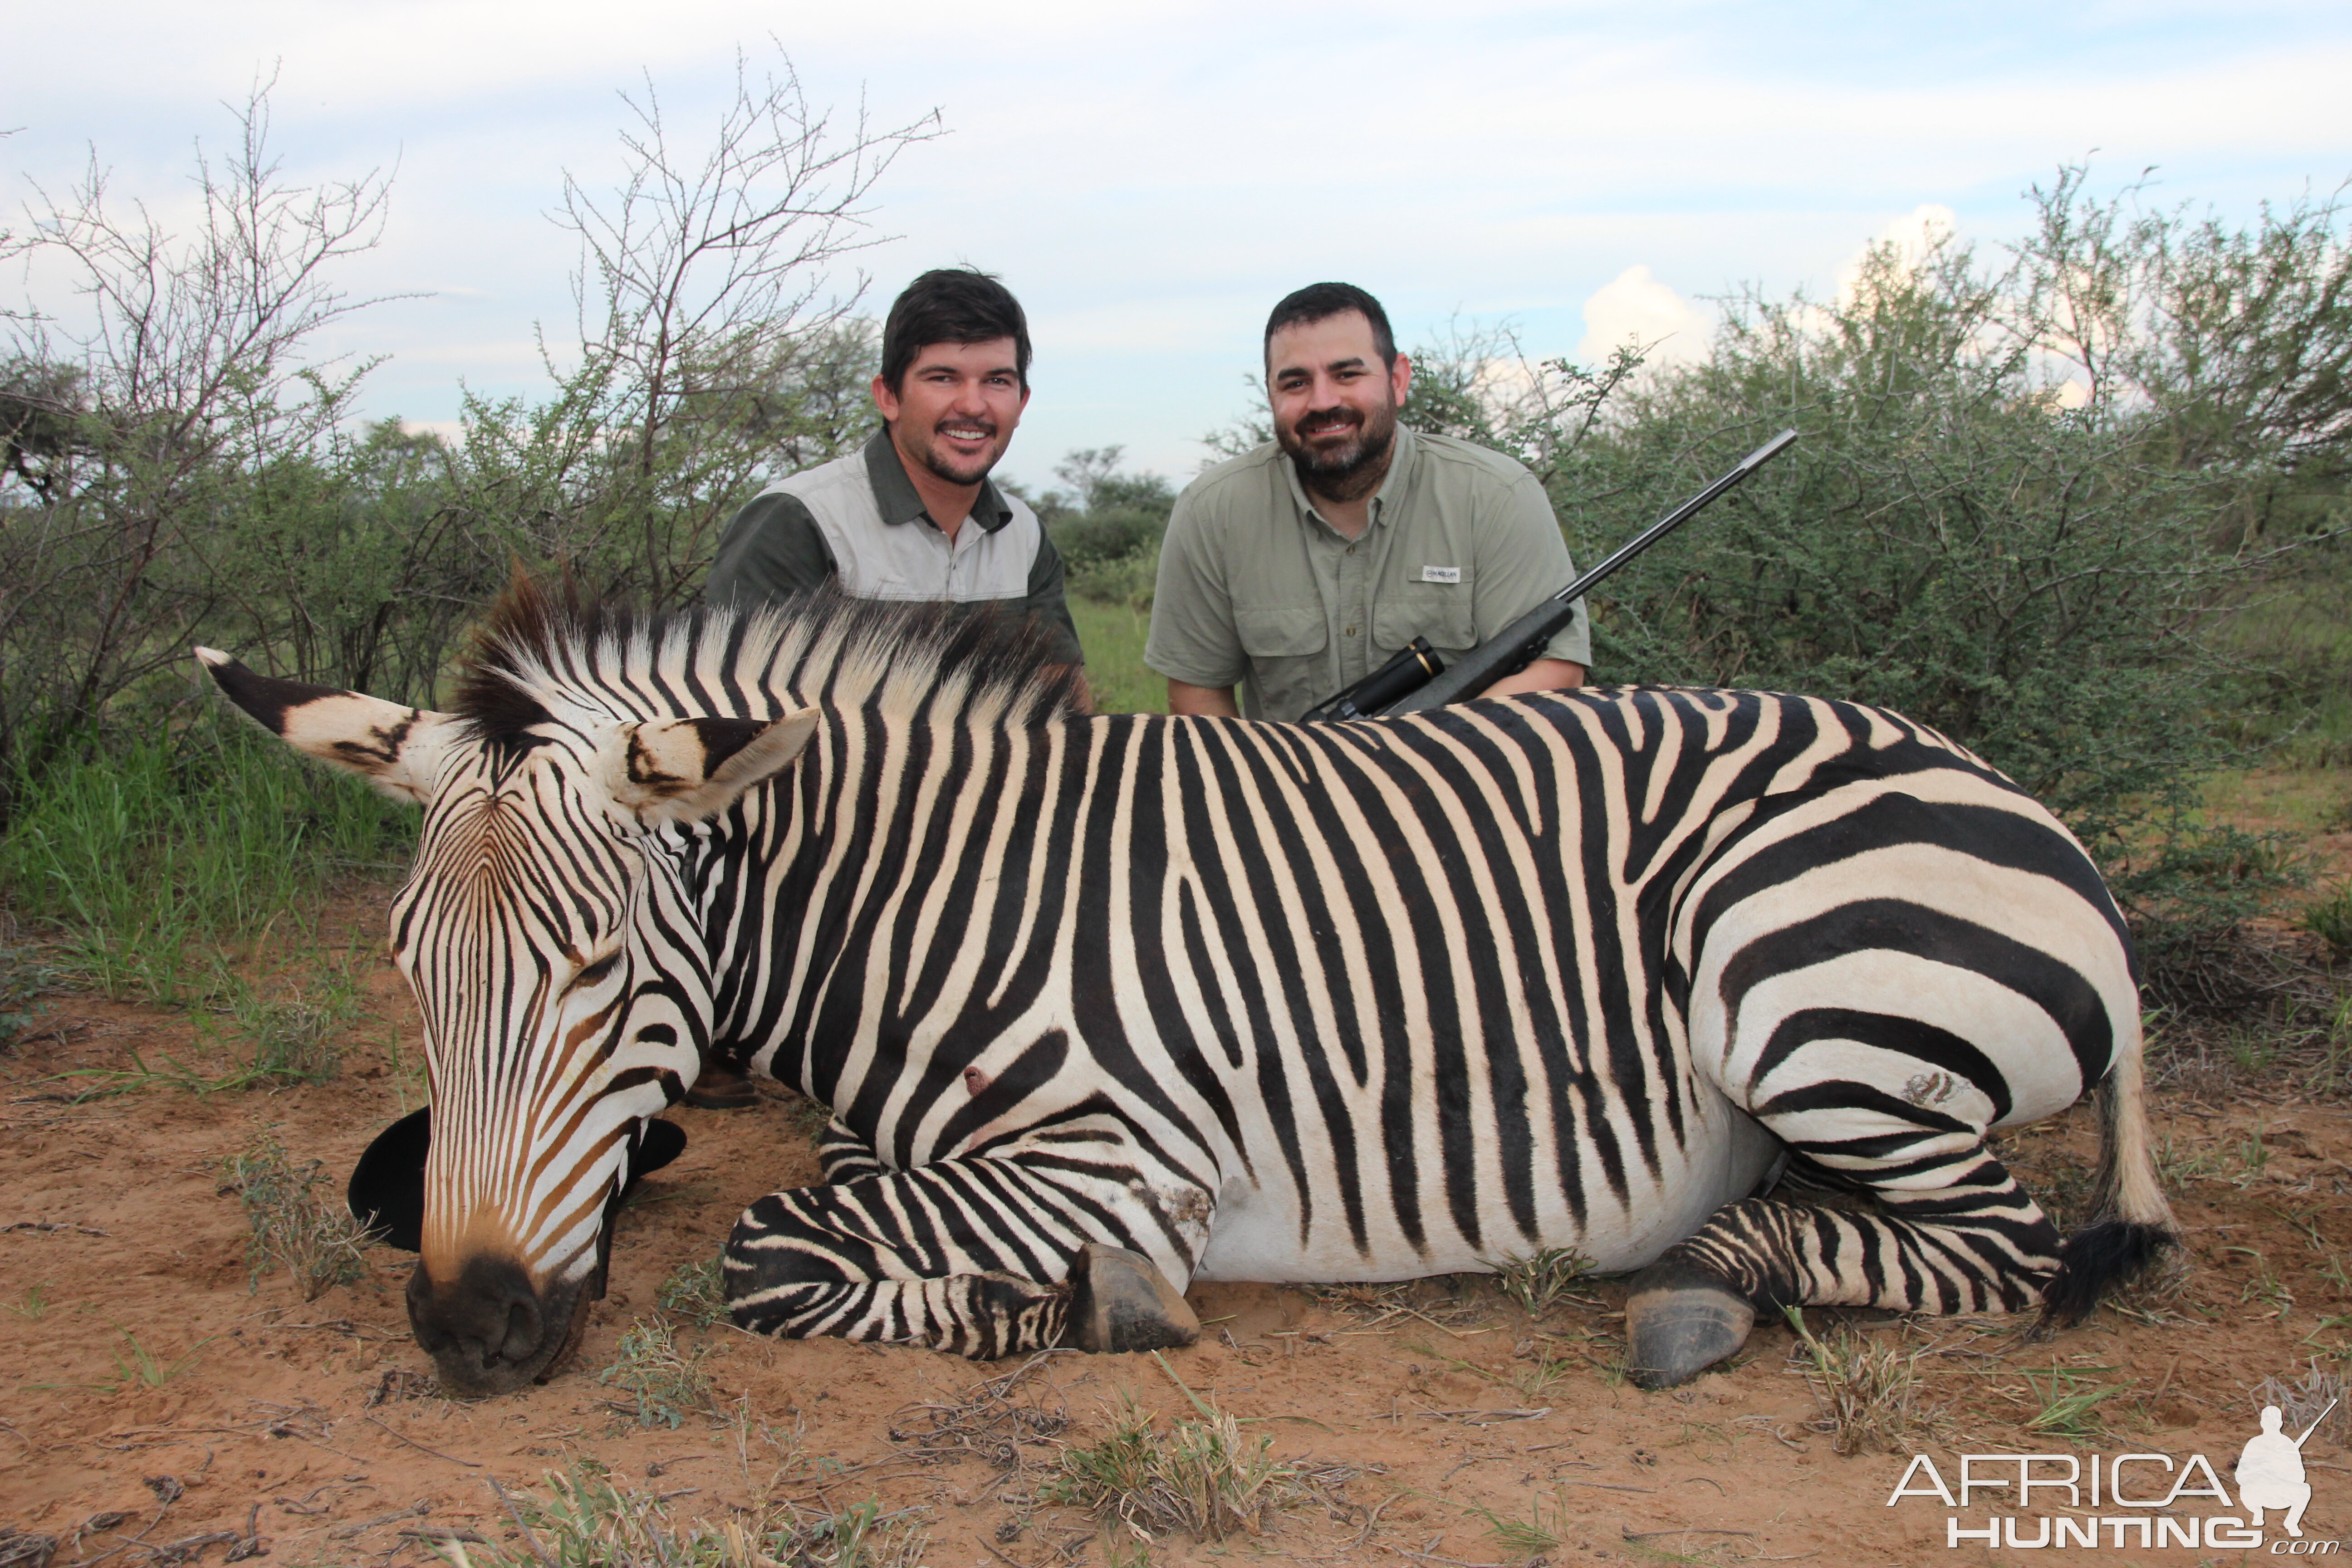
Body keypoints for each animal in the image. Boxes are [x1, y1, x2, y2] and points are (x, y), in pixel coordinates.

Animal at [197, 585, 2164, 1401]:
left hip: (1798, 1000)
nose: (467, 1327)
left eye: (600, 972)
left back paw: (1703, 1285)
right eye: (409, 969)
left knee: (2009, 1254)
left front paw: (1057, 1309)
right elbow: (816, 1199)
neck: (925, 901)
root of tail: (2000, 787)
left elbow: (769, 1245)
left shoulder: (1128, 1160)